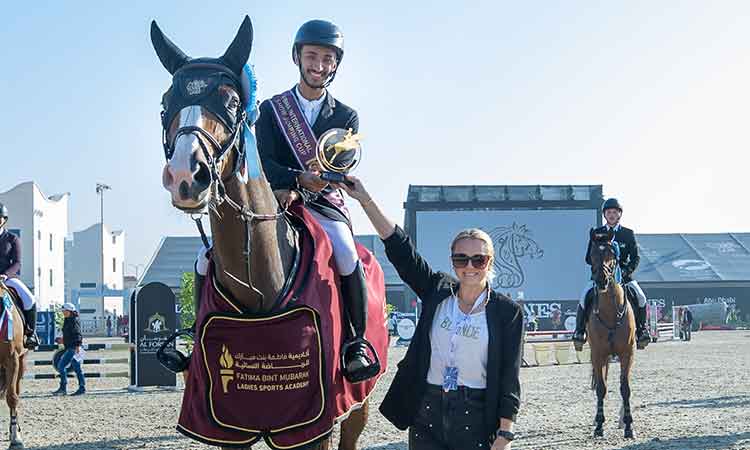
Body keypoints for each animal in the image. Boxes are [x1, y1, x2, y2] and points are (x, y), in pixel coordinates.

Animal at [152, 15, 374, 448]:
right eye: (166, 102)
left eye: (232, 102)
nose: (187, 176)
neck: (260, 290)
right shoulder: (223, 426)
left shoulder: (314, 427)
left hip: (358, 402)